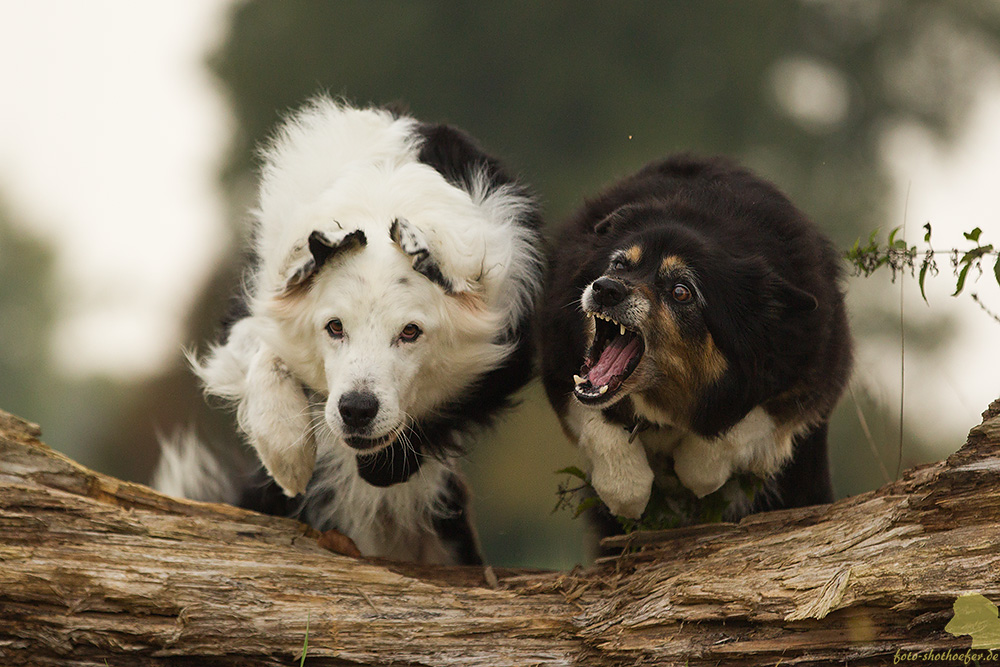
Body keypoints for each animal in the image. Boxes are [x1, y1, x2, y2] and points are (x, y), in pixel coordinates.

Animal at [156, 98, 544, 564]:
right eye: (335, 327)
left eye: (410, 332)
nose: (357, 410)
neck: (381, 205)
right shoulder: (259, 296)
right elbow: (263, 350)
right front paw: (286, 449)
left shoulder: (505, 352)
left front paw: (383, 467)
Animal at [540, 155, 852, 520]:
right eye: (619, 264)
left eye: (681, 292)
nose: (605, 289)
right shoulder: (558, 357)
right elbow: (591, 420)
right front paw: (626, 486)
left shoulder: (814, 365)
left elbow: (745, 424)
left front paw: (697, 469)